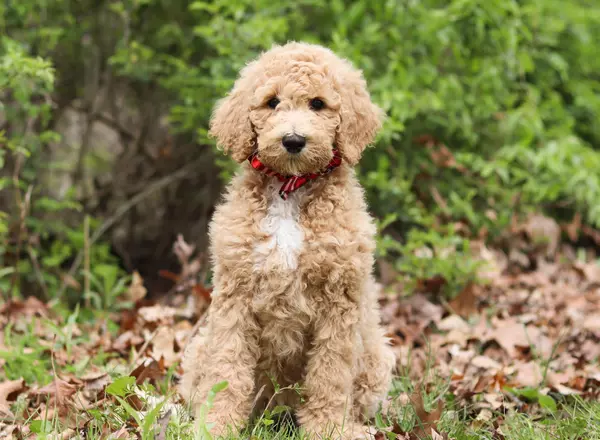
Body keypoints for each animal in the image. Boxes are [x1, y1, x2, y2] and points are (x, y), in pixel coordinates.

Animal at [180, 42, 396, 440]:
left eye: (318, 104)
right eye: (272, 102)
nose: (293, 141)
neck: (290, 189)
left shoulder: (339, 301)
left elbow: (330, 373)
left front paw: (328, 428)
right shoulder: (236, 295)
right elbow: (227, 367)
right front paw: (217, 424)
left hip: (377, 358)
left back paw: (356, 426)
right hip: (200, 346)